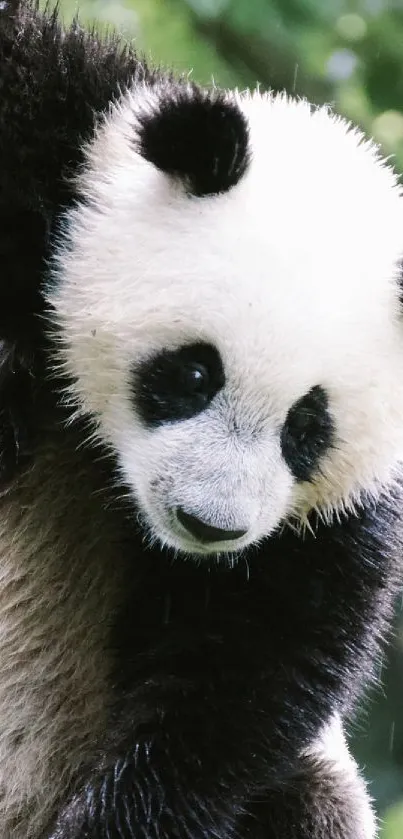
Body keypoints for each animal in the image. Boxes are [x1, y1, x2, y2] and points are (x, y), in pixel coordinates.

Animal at [1, 0, 403, 836]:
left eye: (307, 428)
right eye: (193, 372)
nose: (207, 524)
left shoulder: (335, 521)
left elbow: (242, 668)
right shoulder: (51, 138)